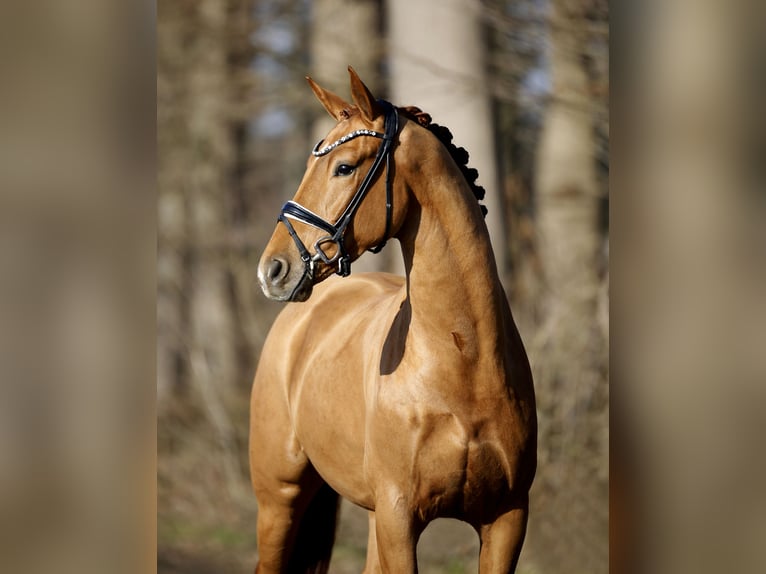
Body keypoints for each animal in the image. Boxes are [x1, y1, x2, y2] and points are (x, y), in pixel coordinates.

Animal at [250, 67, 536, 574]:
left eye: (344, 167)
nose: (273, 270)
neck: (464, 361)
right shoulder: (399, 517)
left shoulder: (507, 520)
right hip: (279, 500)